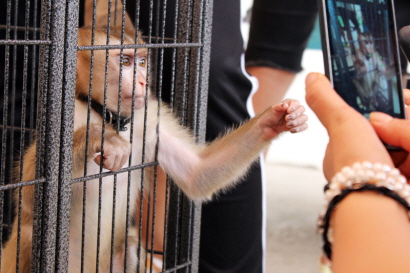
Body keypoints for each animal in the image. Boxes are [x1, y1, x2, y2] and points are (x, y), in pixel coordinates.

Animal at [0, 26, 308, 272]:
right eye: (124, 62)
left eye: (141, 61)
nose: (142, 81)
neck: (109, 116)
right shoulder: (63, 117)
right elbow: (34, 197)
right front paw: (99, 138)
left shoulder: (150, 118)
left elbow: (198, 174)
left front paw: (276, 119)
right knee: (30, 233)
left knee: (131, 246)